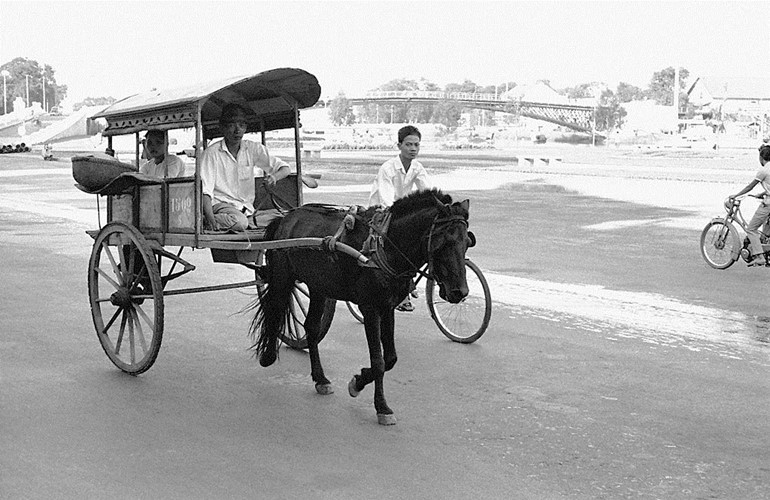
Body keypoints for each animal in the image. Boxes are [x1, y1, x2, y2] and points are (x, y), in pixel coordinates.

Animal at [249, 189, 472, 424]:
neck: (384, 245)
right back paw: (268, 356)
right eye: (443, 242)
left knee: (311, 327)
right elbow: (379, 361)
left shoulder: (387, 306)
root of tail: (285, 217)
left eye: (467, 242)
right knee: (274, 310)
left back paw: (320, 378)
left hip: (319, 286)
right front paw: (381, 406)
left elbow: (390, 358)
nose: (460, 292)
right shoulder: (370, 308)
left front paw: (359, 380)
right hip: (282, 277)